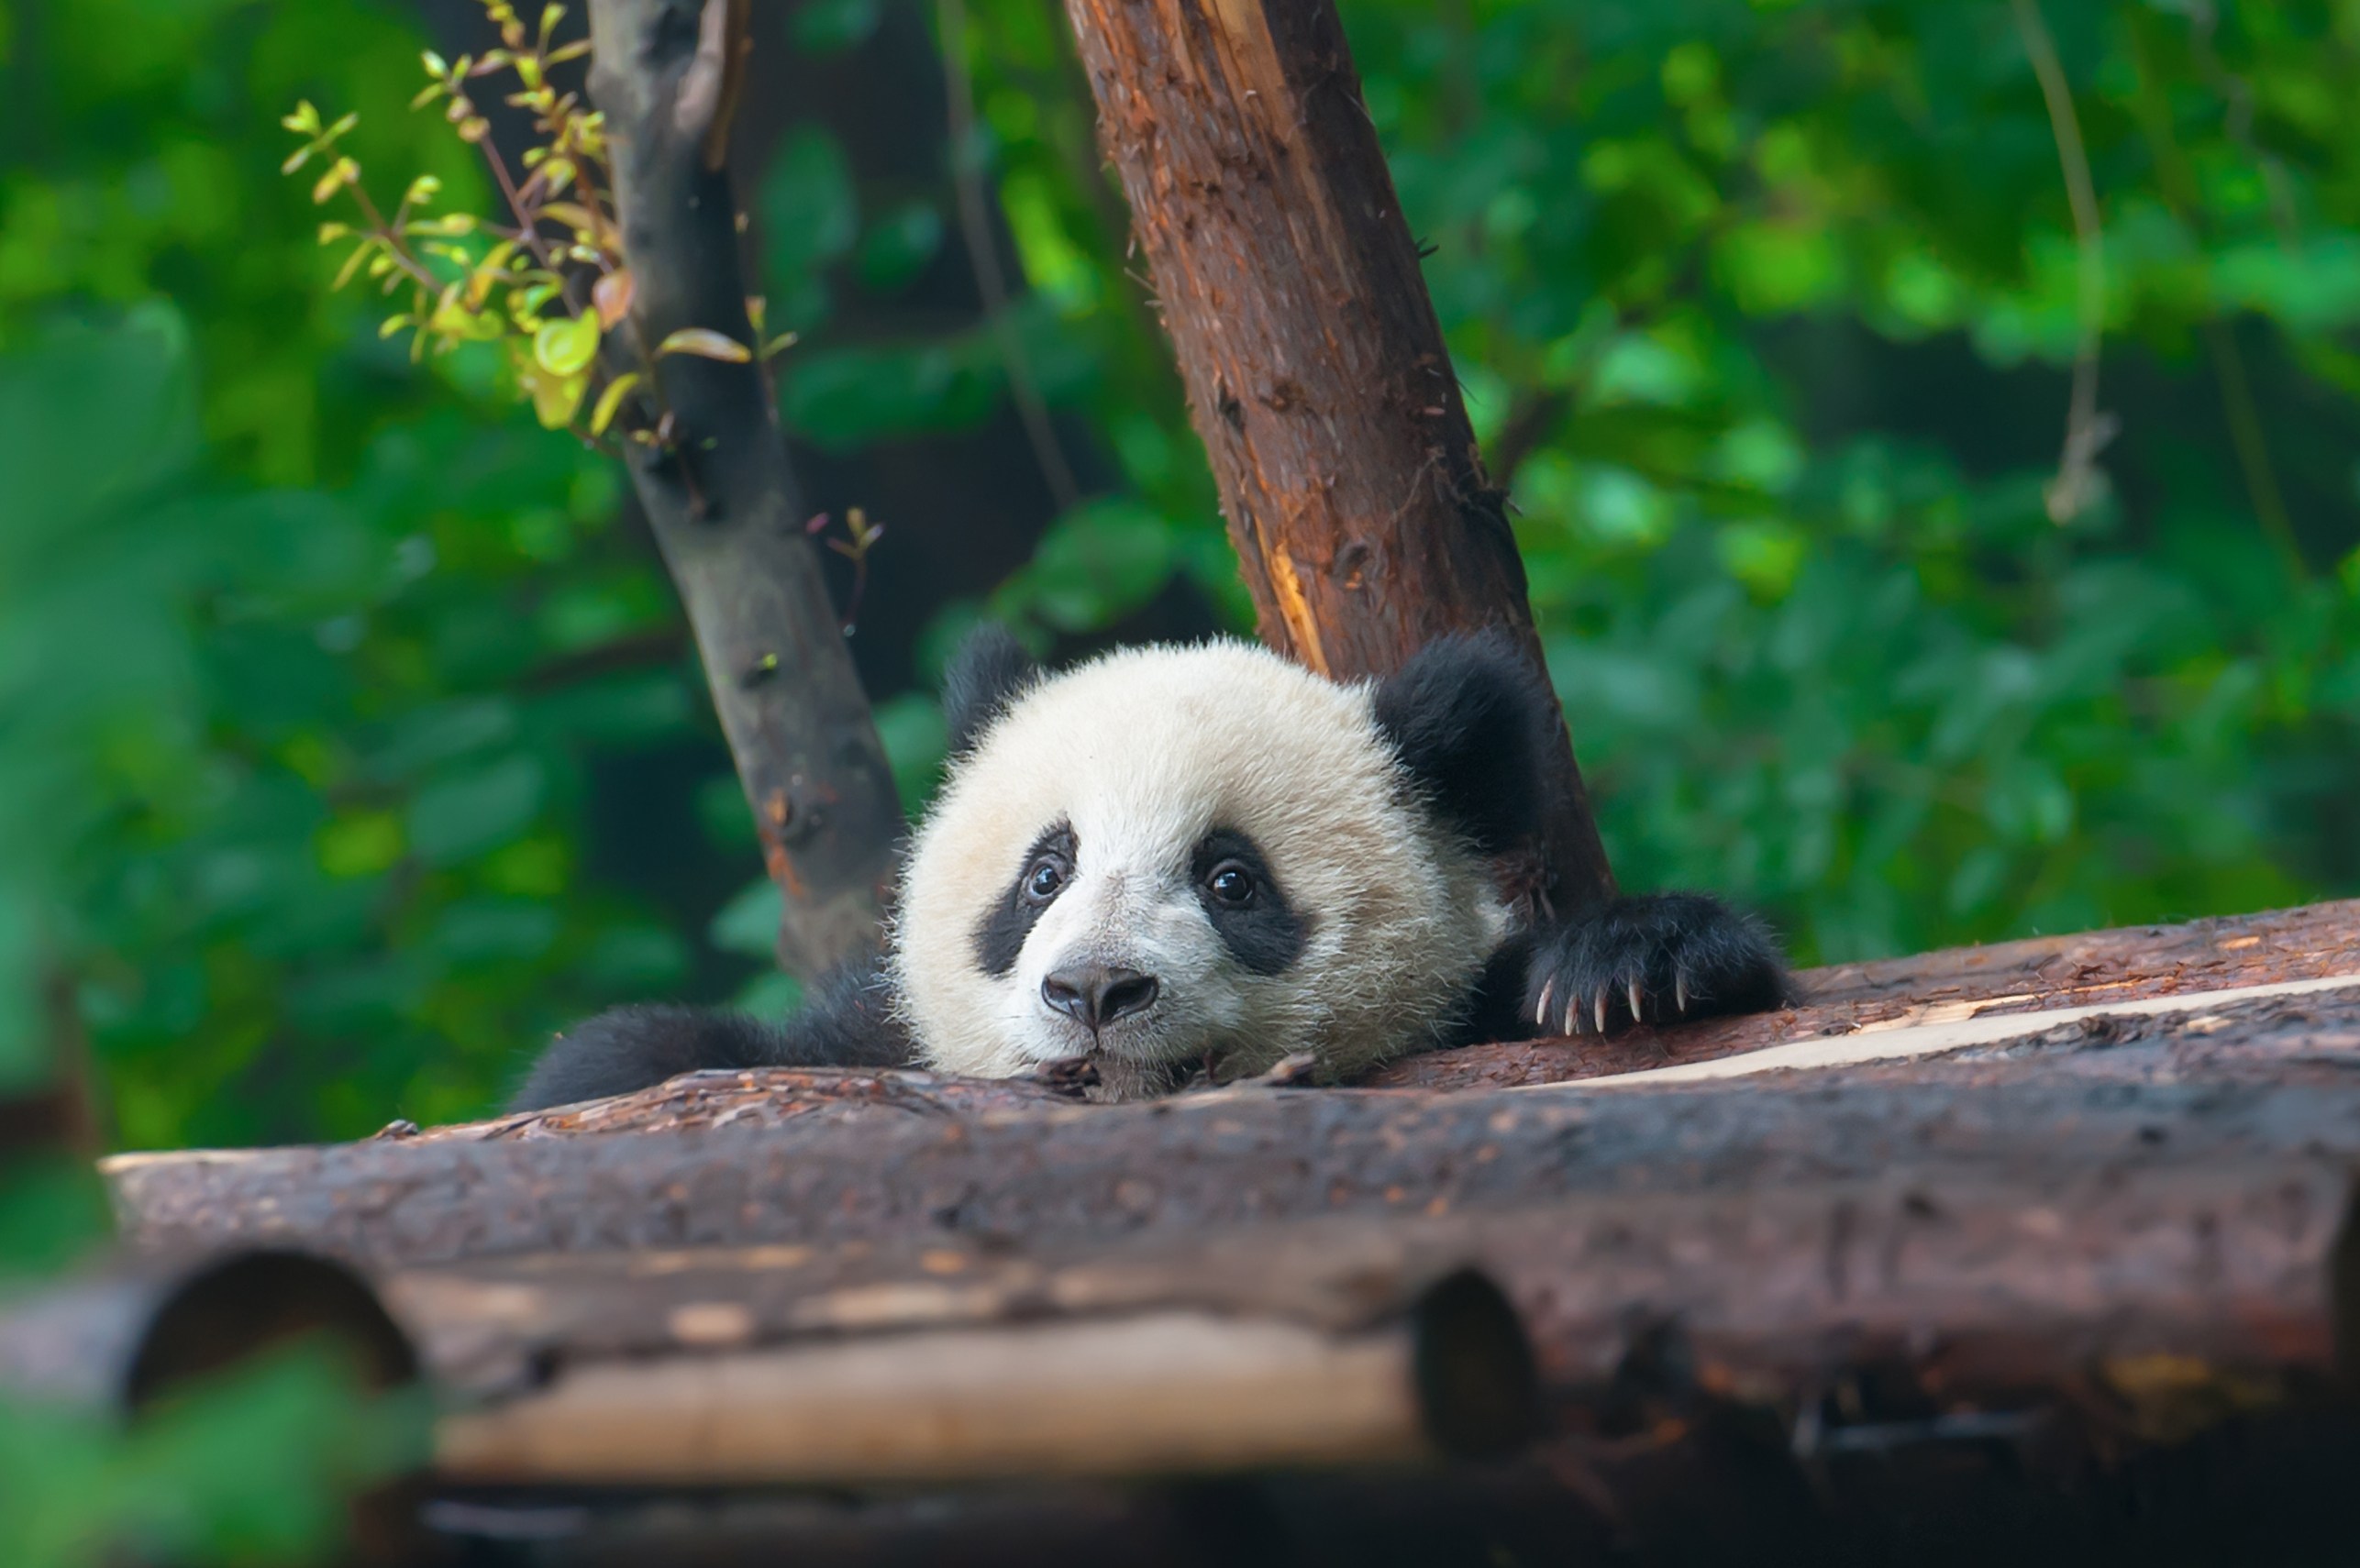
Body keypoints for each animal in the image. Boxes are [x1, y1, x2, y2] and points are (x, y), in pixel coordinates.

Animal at [511, 627, 1791, 1109]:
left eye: (1231, 882)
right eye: (1044, 874)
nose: (1092, 992)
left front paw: (1632, 964)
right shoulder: (872, 1037)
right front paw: (605, 1068)